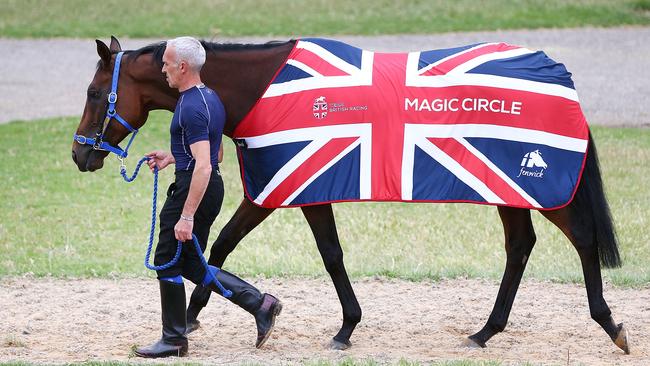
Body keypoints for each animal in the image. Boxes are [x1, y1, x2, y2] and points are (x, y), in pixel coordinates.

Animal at [72, 36, 628, 352]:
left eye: (95, 94)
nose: (81, 155)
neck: (260, 90)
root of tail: (560, 74)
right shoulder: (282, 190)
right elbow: (227, 245)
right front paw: (197, 315)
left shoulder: (286, 187)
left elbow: (321, 254)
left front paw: (343, 328)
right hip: (506, 192)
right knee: (520, 247)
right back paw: (485, 331)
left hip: (534, 184)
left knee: (580, 238)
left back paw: (609, 324)